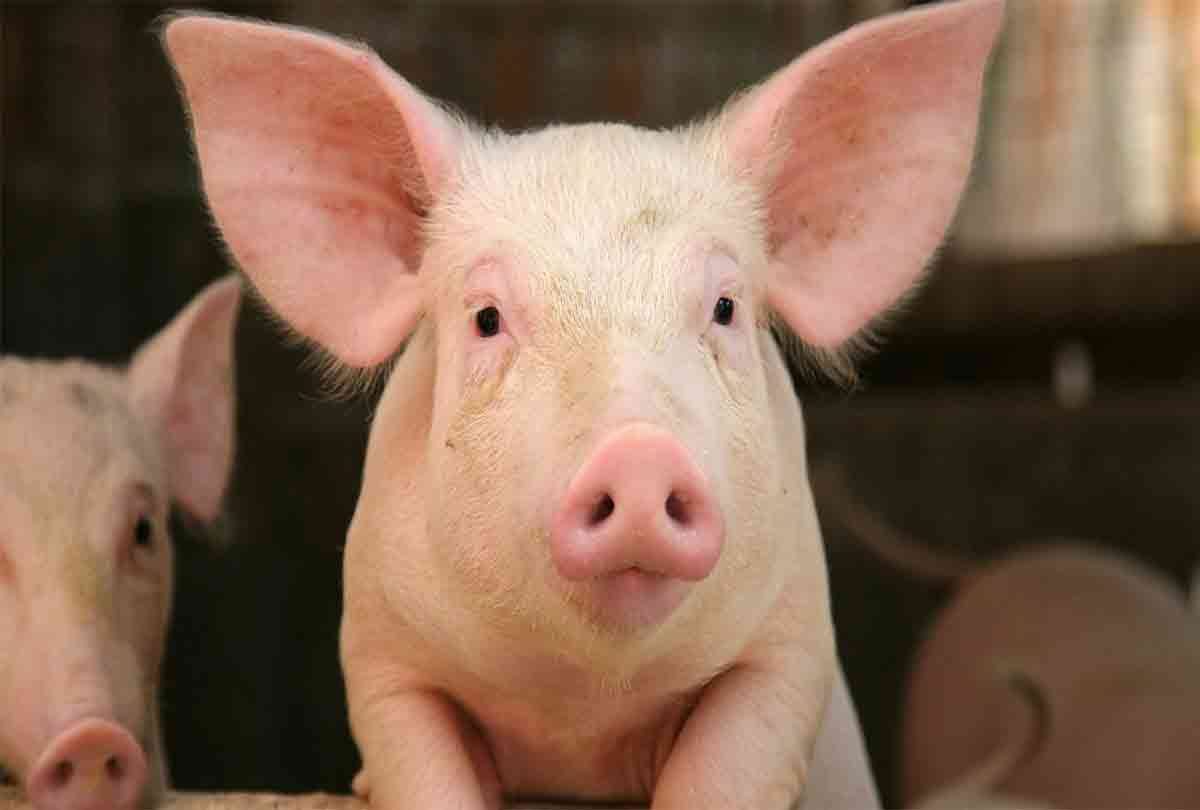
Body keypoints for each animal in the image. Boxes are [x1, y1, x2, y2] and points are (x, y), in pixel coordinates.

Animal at [161, 1, 1004, 807]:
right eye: (486, 318)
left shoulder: (790, 646)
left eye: (725, 307)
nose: (638, 454)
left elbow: (723, 771)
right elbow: (422, 769)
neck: (582, 713)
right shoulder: (379, 652)